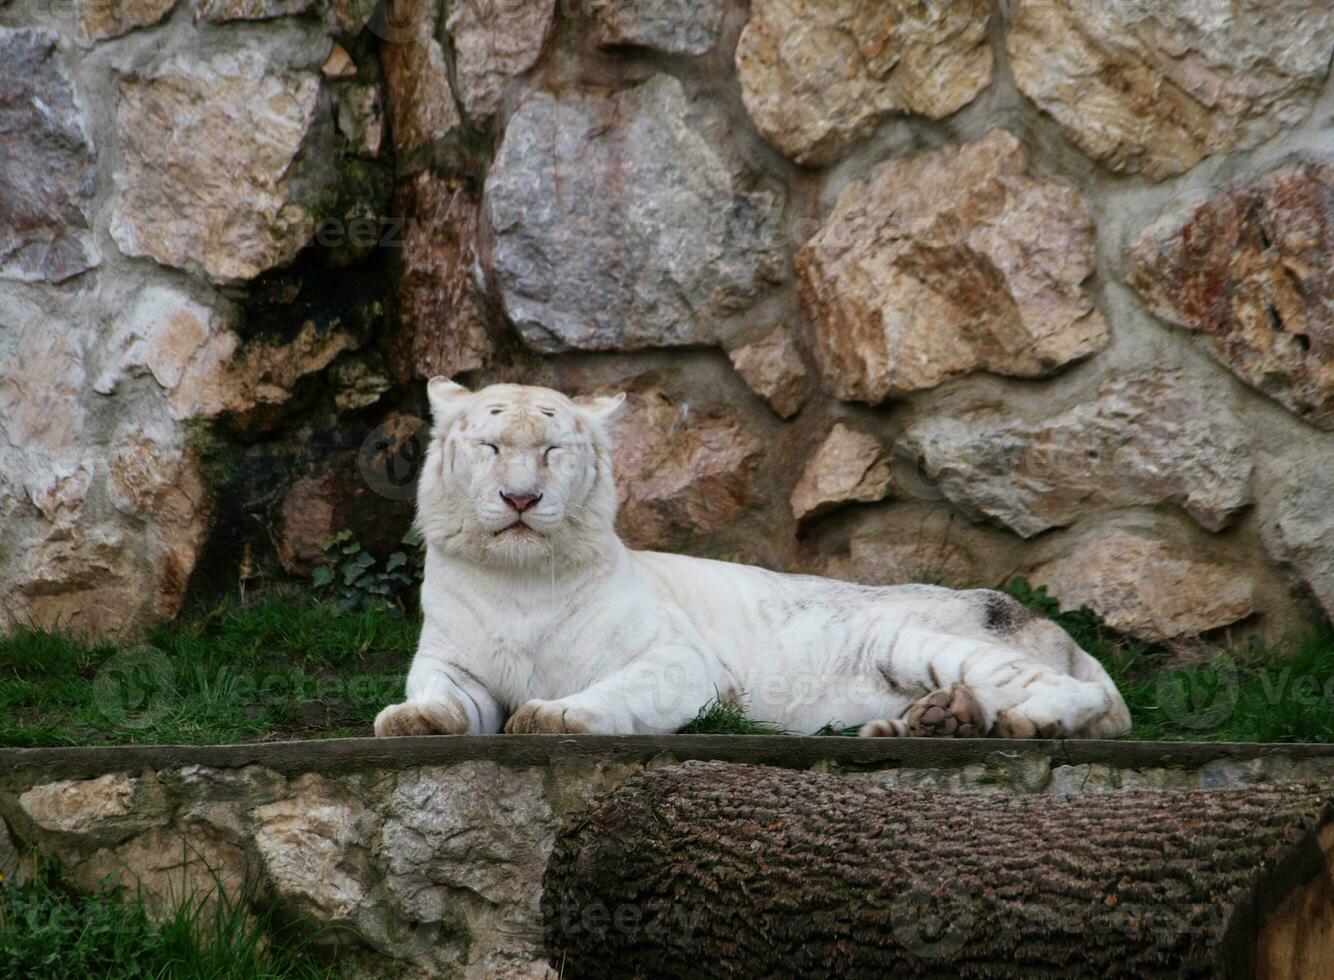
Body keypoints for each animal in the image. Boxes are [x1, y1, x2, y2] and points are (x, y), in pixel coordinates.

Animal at [373, 378, 1125, 741]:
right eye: (492, 446)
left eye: (553, 451)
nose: (521, 498)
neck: (520, 578)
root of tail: (1053, 629)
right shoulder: (453, 661)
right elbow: (439, 697)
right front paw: (411, 719)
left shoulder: (681, 663)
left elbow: (617, 693)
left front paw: (552, 716)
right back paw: (939, 722)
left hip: (918, 640)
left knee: (1076, 695)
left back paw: (1022, 723)